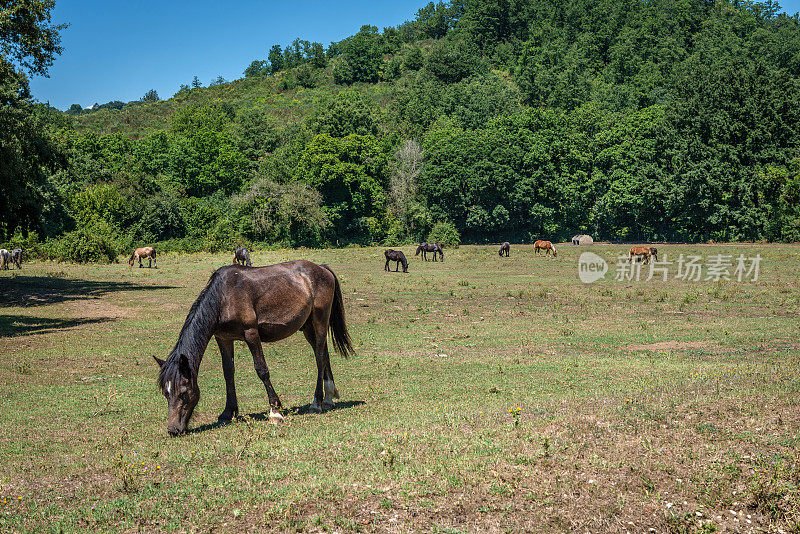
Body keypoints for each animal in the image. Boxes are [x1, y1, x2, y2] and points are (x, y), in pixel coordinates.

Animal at [155, 262, 354, 438]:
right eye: (165, 393)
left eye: (183, 392)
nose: (173, 430)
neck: (223, 298)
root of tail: (322, 269)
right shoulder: (223, 338)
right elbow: (228, 373)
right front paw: (228, 412)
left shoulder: (251, 333)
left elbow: (262, 370)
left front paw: (275, 411)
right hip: (307, 327)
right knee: (324, 353)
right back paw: (329, 397)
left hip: (320, 320)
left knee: (320, 356)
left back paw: (317, 402)